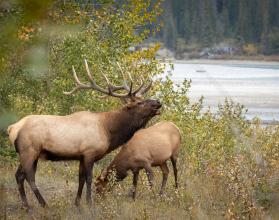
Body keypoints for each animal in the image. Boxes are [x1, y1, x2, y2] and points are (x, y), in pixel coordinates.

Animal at [7, 59, 162, 209]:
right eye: (140, 103)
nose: (158, 102)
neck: (107, 130)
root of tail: (13, 128)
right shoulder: (89, 152)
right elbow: (89, 178)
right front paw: (90, 203)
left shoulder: (81, 156)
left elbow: (80, 179)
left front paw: (77, 203)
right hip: (29, 150)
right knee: (28, 176)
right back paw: (42, 204)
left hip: (31, 153)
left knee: (19, 175)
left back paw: (27, 205)